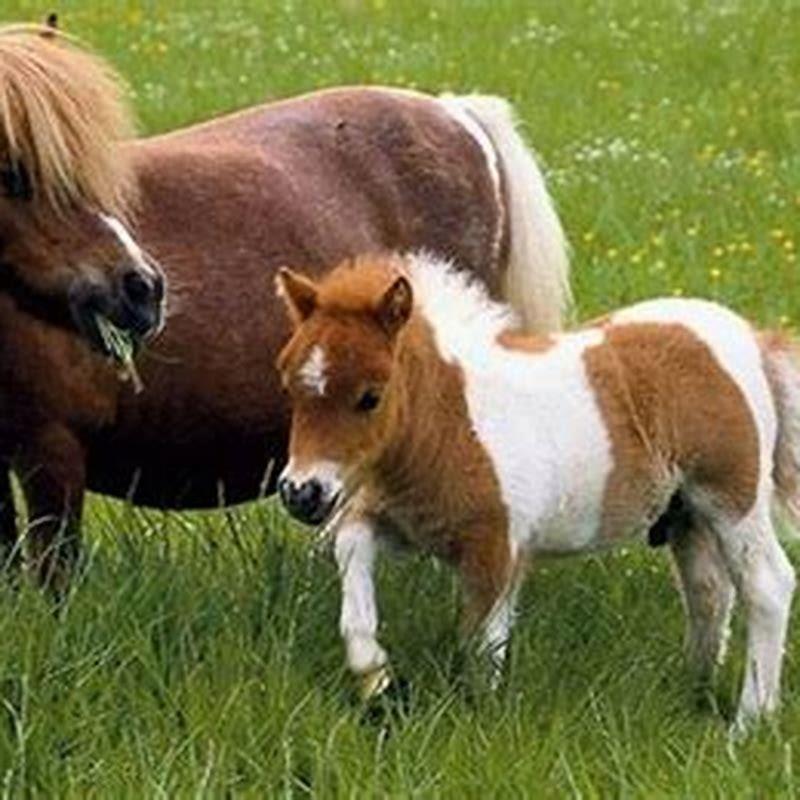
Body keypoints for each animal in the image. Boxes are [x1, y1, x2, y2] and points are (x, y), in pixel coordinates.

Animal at [275, 252, 799, 731]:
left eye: (371, 397)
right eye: (291, 388)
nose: (301, 493)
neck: (454, 422)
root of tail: (751, 340)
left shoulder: (496, 547)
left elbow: (481, 642)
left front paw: (478, 722)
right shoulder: (405, 525)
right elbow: (351, 550)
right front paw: (375, 674)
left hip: (732, 499)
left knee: (767, 585)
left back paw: (748, 723)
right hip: (686, 513)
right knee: (709, 592)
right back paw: (693, 690)